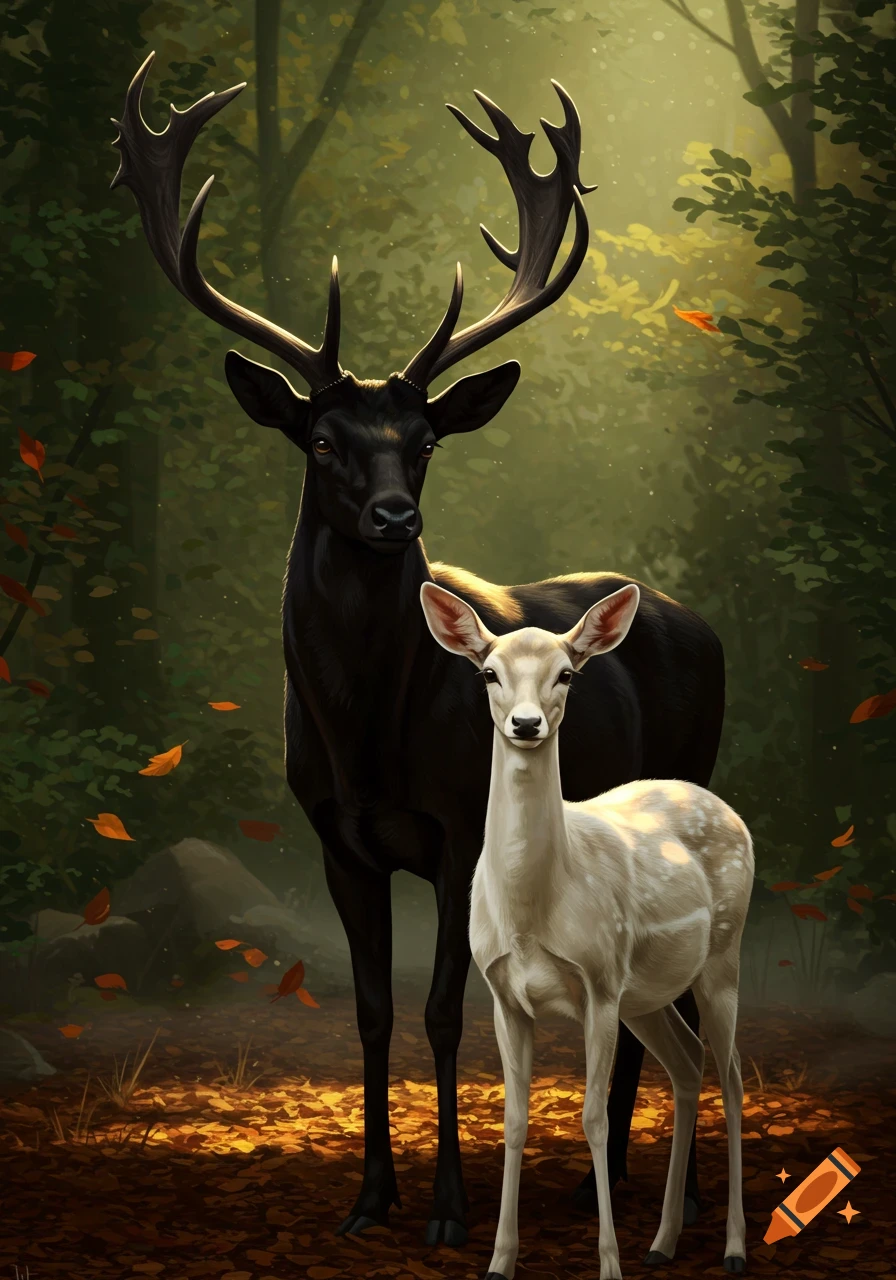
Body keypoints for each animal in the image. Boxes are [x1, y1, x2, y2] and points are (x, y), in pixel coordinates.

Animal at [111, 54, 726, 1247]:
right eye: (319, 439)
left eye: (427, 438)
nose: (395, 515)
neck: (368, 734)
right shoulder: (333, 837)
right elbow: (368, 1007)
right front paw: (369, 1197)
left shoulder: (455, 828)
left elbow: (445, 1010)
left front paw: (448, 1208)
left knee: (656, 992)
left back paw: (623, 1183)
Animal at [420, 580, 751, 1280]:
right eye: (488, 673)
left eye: (566, 674)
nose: (525, 724)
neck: (532, 911)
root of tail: (726, 808)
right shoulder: (504, 995)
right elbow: (515, 1120)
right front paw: (499, 1261)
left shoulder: (597, 983)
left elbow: (593, 1118)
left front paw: (608, 1264)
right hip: (644, 996)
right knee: (689, 1064)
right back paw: (662, 1242)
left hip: (722, 956)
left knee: (733, 1073)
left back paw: (733, 1248)